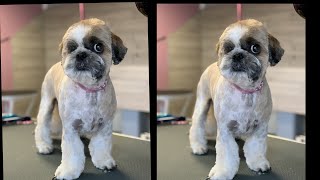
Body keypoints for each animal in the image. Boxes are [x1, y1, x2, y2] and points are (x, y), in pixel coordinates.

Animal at [34, 17, 127, 179]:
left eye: (98, 47)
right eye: (71, 48)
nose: (81, 54)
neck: (89, 91)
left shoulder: (104, 126)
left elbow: (100, 145)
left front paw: (103, 161)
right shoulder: (70, 128)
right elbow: (72, 152)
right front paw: (68, 171)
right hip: (47, 104)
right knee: (41, 125)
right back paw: (44, 145)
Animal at [189, 19, 284, 179]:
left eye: (255, 48)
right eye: (228, 49)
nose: (237, 55)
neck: (245, 92)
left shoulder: (260, 128)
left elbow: (255, 147)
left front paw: (257, 163)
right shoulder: (225, 129)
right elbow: (227, 154)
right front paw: (223, 172)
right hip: (202, 103)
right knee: (197, 125)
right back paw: (198, 146)